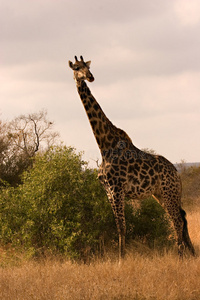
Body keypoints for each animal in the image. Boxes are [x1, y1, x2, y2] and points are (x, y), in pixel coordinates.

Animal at [69, 56, 195, 260]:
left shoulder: (117, 188)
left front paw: (121, 261)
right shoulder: (108, 190)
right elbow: (118, 227)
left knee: (177, 219)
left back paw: (180, 255)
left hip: (169, 192)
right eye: (77, 68)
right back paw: (190, 252)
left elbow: (122, 227)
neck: (104, 145)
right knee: (180, 218)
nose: (90, 77)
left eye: (88, 67)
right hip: (161, 194)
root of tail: (177, 173)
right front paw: (121, 258)